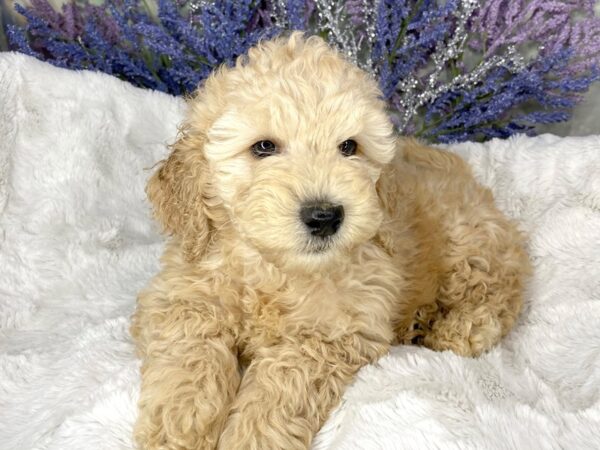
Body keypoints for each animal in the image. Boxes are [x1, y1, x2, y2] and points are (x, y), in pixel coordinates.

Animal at [131, 33, 528, 448]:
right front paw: (181, 425)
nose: (324, 216)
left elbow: (283, 386)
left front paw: (252, 438)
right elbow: (189, 353)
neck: (275, 270)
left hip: (469, 242)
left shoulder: (332, 333)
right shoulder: (180, 295)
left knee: (500, 288)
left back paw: (460, 329)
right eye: (264, 147)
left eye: (349, 147)